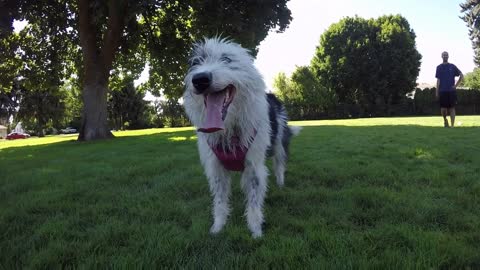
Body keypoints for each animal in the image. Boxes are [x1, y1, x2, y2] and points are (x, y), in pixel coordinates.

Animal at [184, 38, 300, 238]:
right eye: (196, 62)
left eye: (226, 59)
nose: (199, 79)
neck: (230, 130)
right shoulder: (216, 169)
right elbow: (220, 201)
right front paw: (218, 227)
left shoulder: (254, 167)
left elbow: (253, 202)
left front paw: (255, 231)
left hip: (279, 143)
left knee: (279, 164)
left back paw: (280, 183)